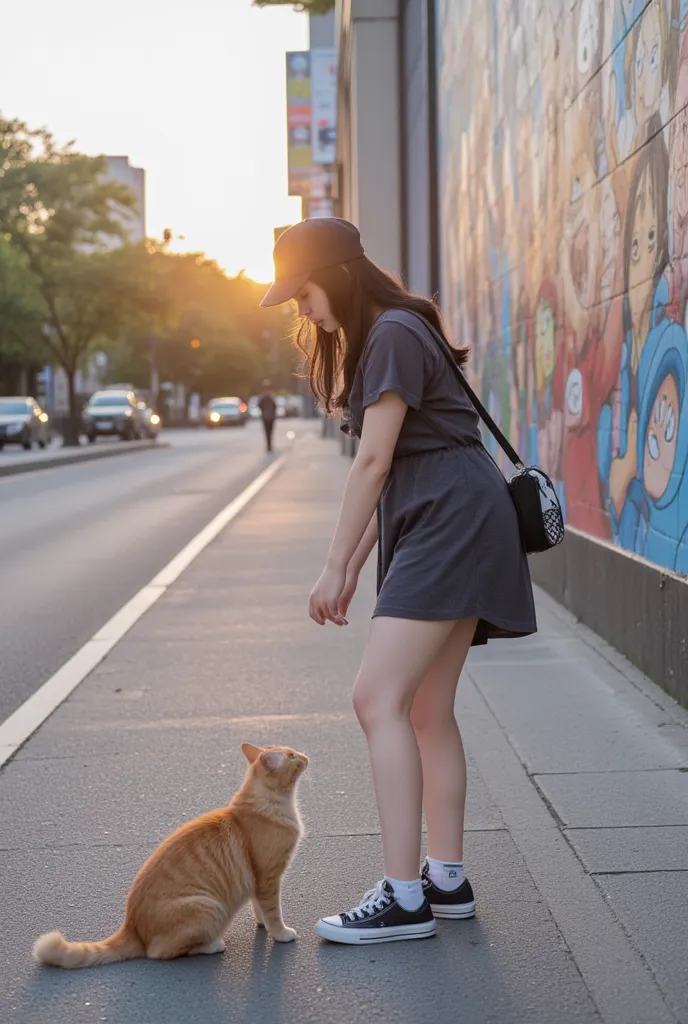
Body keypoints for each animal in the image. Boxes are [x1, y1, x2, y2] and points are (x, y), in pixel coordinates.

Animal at [33, 745, 307, 966]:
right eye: (291, 756)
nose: (305, 755)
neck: (269, 805)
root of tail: (131, 927)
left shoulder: (257, 882)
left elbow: (259, 909)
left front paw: (262, 925)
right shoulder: (268, 879)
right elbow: (273, 912)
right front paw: (281, 933)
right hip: (210, 906)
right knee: (160, 953)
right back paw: (213, 945)